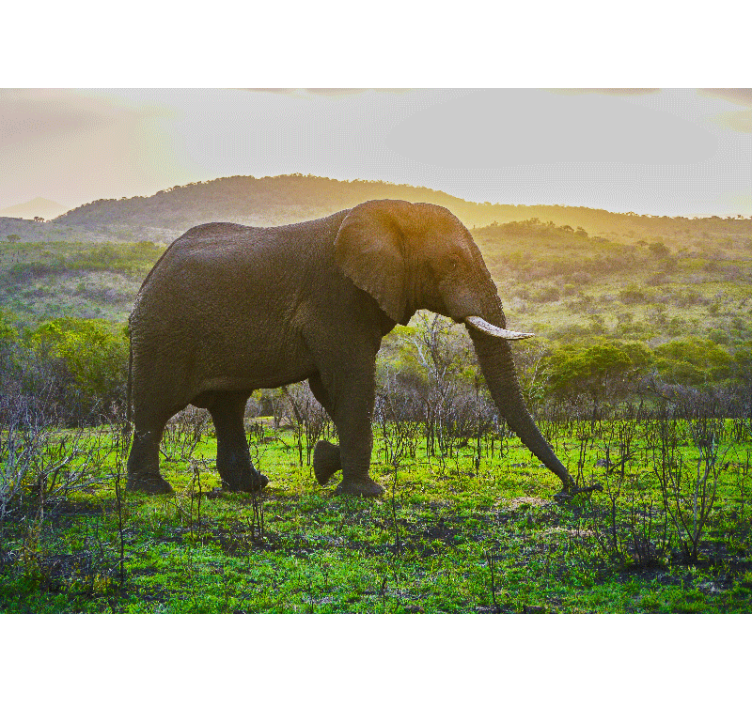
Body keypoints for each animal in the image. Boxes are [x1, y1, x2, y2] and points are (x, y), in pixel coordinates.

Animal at [125, 199, 600, 499]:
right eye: (451, 263)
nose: (574, 490)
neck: (394, 214)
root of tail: (153, 272)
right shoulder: (335, 297)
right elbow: (349, 381)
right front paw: (365, 492)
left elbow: (330, 390)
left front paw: (325, 463)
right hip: (162, 331)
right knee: (156, 405)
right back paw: (152, 489)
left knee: (229, 406)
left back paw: (252, 486)